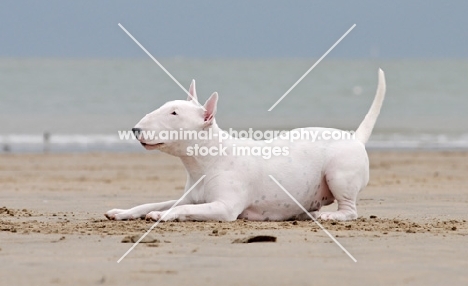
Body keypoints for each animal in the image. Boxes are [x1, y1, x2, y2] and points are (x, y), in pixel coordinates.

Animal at [107, 68, 388, 221]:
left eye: (174, 113)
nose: (135, 129)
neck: (207, 161)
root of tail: (354, 137)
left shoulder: (224, 207)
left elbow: (181, 208)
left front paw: (160, 216)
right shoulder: (190, 196)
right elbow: (157, 203)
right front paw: (123, 211)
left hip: (338, 174)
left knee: (349, 209)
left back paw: (331, 215)